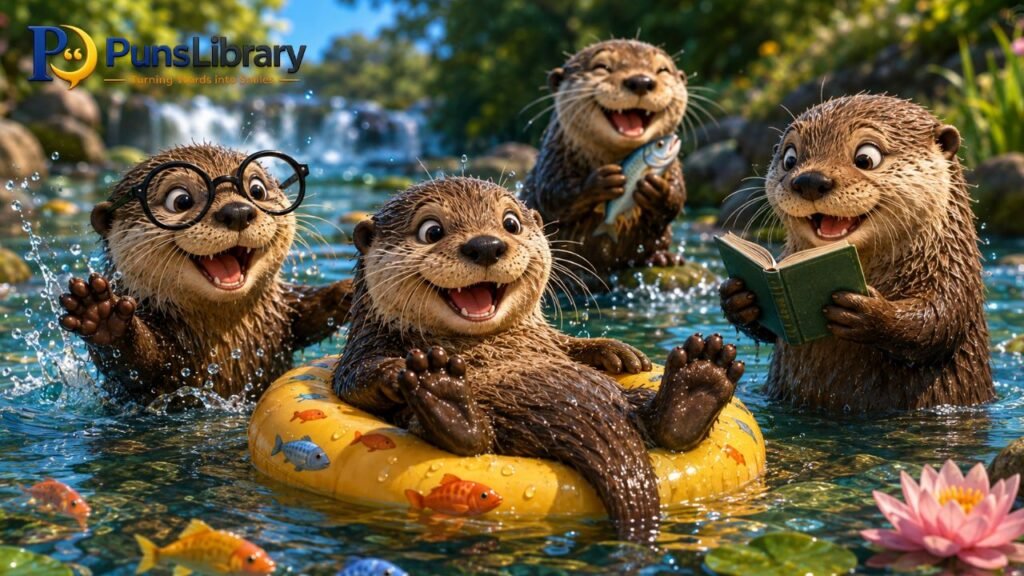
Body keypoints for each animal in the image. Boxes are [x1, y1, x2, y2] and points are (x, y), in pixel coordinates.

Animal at [58, 144, 352, 404]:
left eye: (256, 189)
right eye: (181, 200)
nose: (237, 211)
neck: (230, 340)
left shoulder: (282, 311)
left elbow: (312, 310)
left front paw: (348, 290)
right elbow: (134, 365)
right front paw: (101, 314)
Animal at [333, 177, 744, 542]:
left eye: (510, 223)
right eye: (431, 231)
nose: (486, 245)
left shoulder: (548, 339)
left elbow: (571, 345)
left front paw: (618, 351)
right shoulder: (365, 345)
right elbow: (353, 379)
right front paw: (396, 370)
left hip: (628, 398)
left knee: (656, 421)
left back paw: (701, 378)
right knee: (478, 441)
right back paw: (442, 394)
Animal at [520, 39, 688, 282]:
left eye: (662, 70)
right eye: (602, 67)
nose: (641, 81)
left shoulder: (673, 167)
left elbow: (678, 196)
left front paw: (659, 190)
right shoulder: (553, 160)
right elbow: (553, 196)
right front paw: (602, 181)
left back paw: (662, 258)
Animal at [720, 95, 992, 412]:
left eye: (866, 158)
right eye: (790, 158)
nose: (810, 180)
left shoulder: (955, 276)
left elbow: (939, 322)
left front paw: (868, 311)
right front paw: (738, 297)